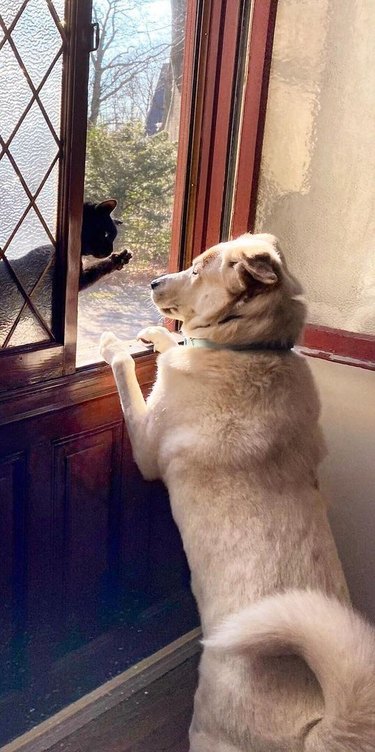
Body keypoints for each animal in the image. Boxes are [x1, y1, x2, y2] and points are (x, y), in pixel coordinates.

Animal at [100, 235, 375, 752]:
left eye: (195, 270)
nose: (153, 281)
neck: (248, 347)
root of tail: (316, 727)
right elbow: (175, 340)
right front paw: (157, 335)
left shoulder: (145, 447)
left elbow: (127, 373)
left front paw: (115, 346)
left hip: (209, 723)